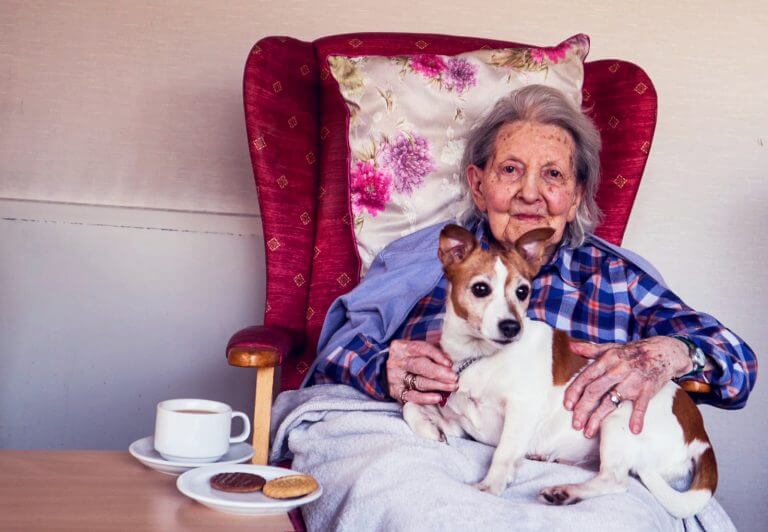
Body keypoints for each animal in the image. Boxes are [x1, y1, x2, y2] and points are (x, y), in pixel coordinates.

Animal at [402, 222, 720, 516]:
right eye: (481, 289)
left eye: (523, 291)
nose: (512, 327)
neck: (480, 357)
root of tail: (701, 434)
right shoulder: (463, 425)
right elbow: (410, 407)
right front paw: (430, 430)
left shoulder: (521, 412)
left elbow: (503, 453)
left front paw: (490, 485)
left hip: (618, 414)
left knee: (616, 479)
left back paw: (566, 492)